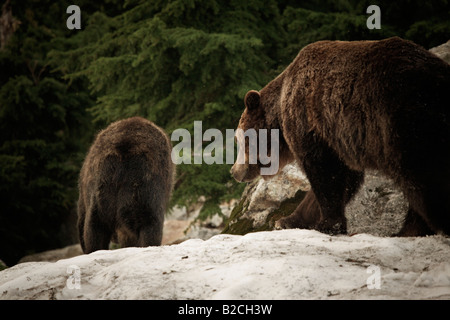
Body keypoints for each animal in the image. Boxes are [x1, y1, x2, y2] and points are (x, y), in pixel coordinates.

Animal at [232, 38, 450, 238]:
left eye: (240, 139)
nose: (234, 171)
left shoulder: (311, 122)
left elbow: (324, 174)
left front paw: (327, 224)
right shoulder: (340, 138)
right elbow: (345, 178)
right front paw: (288, 220)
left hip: (402, 119)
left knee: (424, 179)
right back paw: (409, 230)